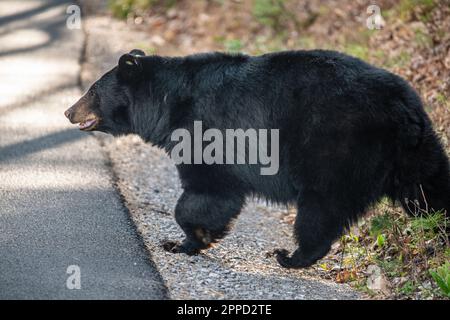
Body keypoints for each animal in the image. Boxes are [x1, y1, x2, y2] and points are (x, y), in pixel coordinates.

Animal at [65, 48, 448, 268]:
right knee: (430, 189)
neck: (168, 104)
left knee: (320, 211)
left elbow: (207, 191)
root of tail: (402, 108)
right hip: (416, 151)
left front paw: (184, 240)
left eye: (93, 90)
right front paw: (191, 240)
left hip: (334, 151)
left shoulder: (208, 131)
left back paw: (291, 256)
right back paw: (439, 230)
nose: (68, 111)